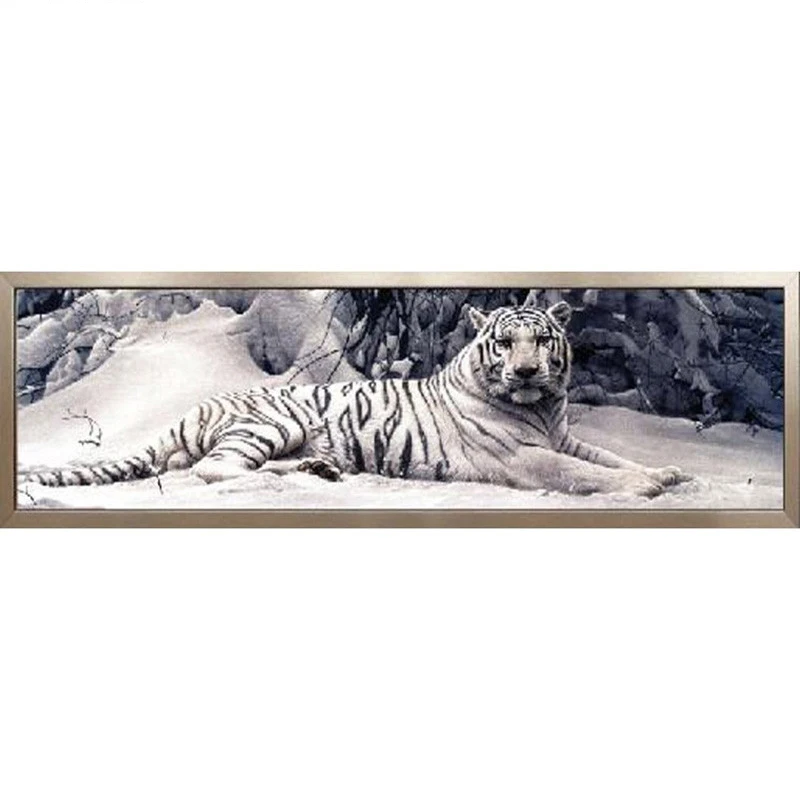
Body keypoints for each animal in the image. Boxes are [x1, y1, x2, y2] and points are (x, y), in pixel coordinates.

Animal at [20, 298, 691, 497]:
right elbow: (584, 473)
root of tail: (194, 408)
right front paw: (645, 488)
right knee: (212, 469)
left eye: (541, 340)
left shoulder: (564, 436)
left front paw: (669, 472)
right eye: (504, 343)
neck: (542, 407)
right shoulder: (522, 456)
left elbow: (608, 457)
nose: (526, 371)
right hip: (269, 425)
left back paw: (320, 471)